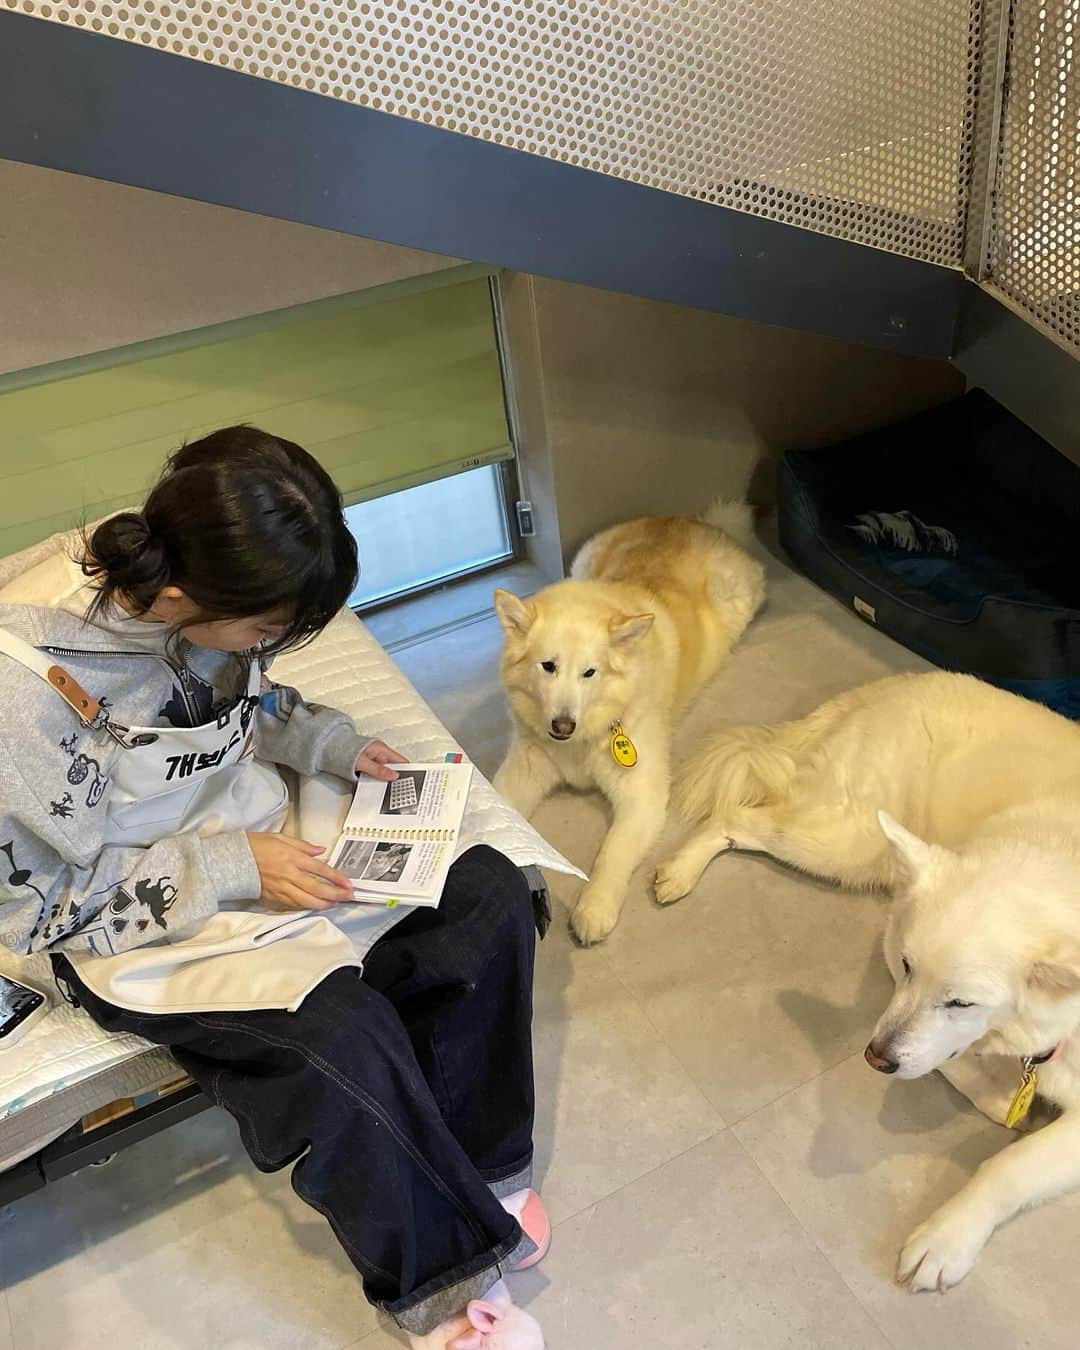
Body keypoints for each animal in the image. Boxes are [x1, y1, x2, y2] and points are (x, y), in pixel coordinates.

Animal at [494, 502, 761, 945]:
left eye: (590, 673)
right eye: (548, 666)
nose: (562, 726)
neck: (580, 743)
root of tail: (699, 521)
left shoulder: (642, 795)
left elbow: (611, 853)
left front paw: (594, 907)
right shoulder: (526, 768)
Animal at [653, 669, 1080, 1290]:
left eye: (961, 1002)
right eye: (907, 967)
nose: (874, 1060)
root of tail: (893, 683)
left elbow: (1011, 1160)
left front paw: (947, 1237)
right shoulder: (892, 954)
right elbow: (960, 1074)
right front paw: (1001, 1103)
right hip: (846, 841)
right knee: (737, 815)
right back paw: (682, 869)